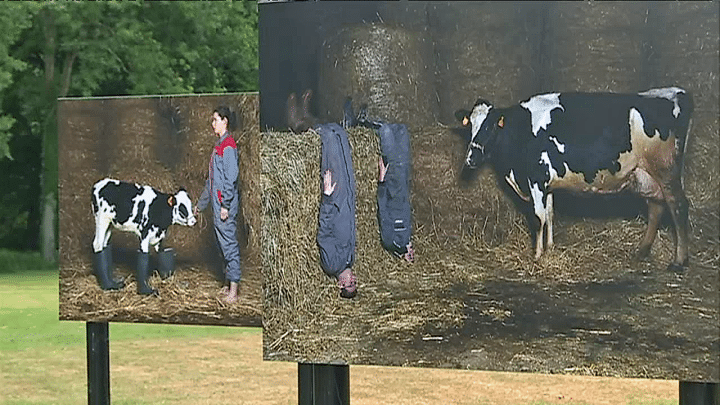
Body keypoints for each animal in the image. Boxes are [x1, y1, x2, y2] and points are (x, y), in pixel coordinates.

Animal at [456, 87, 692, 270]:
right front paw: (550, 248)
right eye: (470, 126)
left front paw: (537, 255)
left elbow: (538, 217)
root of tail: (676, 92)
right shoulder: (547, 184)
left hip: (666, 170)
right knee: (656, 207)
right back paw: (642, 250)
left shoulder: (536, 178)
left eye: (489, 126)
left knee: (678, 206)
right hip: (645, 173)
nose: (471, 158)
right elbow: (550, 214)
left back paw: (679, 261)